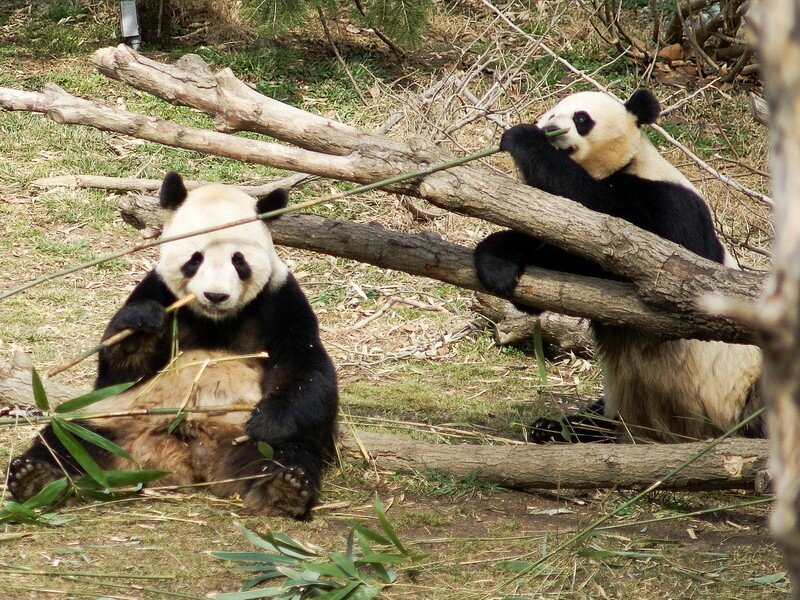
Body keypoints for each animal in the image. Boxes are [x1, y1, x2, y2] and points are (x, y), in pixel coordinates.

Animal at [8, 173, 338, 519]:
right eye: (196, 259)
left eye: (239, 260)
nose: (215, 295)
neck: (216, 321)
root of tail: (184, 455)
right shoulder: (157, 290)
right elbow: (118, 374)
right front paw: (142, 326)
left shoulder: (280, 301)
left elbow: (304, 366)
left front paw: (268, 420)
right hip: (110, 420)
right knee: (68, 440)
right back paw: (36, 478)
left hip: (242, 436)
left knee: (289, 450)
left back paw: (282, 489)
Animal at [474, 89, 763, 443]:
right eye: (551, 114)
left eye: (581, 118)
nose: (551, 129)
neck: (623, 166)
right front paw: (498, 261)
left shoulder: (672, 203)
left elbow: (616, 228)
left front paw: (525, 140)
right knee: (599, 417)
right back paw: (558, 428)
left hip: (739, 389)